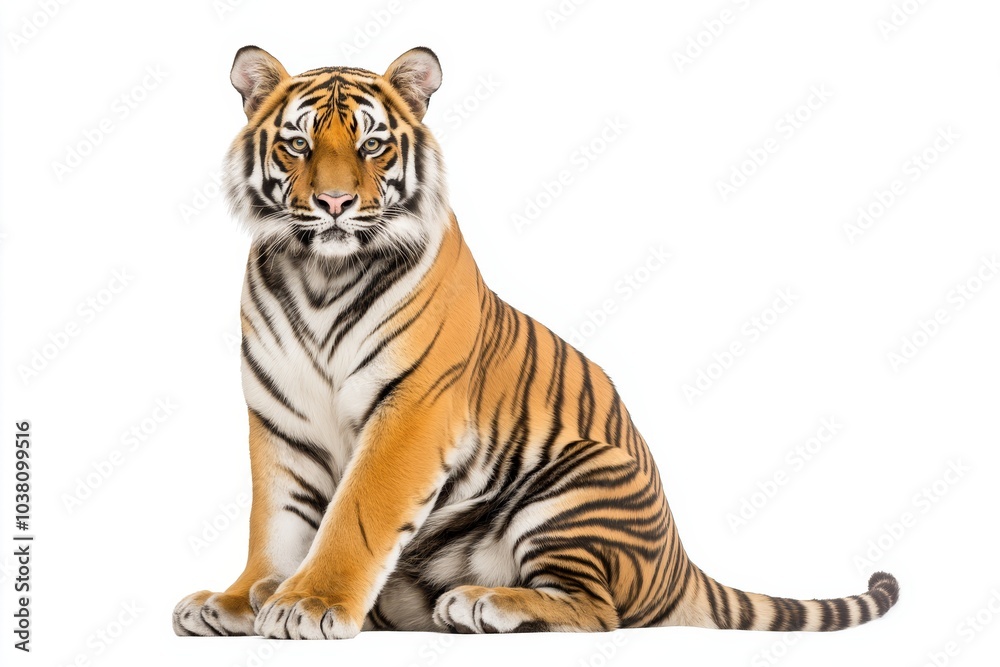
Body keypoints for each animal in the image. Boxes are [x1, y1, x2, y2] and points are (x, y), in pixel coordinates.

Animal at [172, 46, 900, 640]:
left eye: (372, 146)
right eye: (297, 146)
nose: (332, 204)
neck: (319, 272)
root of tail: (681, 563)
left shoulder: (410, 410)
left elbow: (356, 513)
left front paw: (309, 604)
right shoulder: (279, 416)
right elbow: (275, 520)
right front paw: (241, 597)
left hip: (576, 480)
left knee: (599, 610)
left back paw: (481, 603)